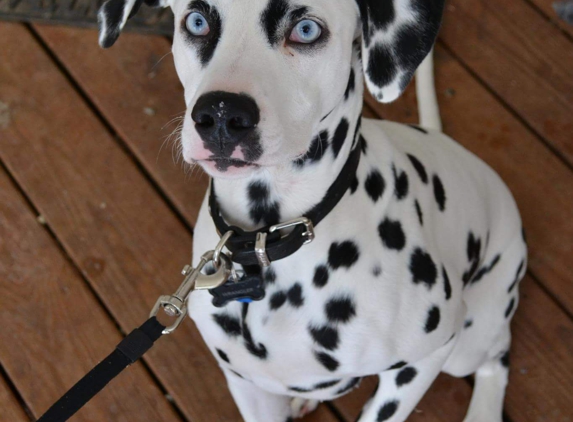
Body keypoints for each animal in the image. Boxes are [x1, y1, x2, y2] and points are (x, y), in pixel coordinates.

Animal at [95, 1, 528, 420]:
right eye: (197, 22)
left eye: (306, 30)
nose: (219, 115)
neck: (265, 241)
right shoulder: (246, 383)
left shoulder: (427, 355)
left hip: (469, 341)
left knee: (497, 355)